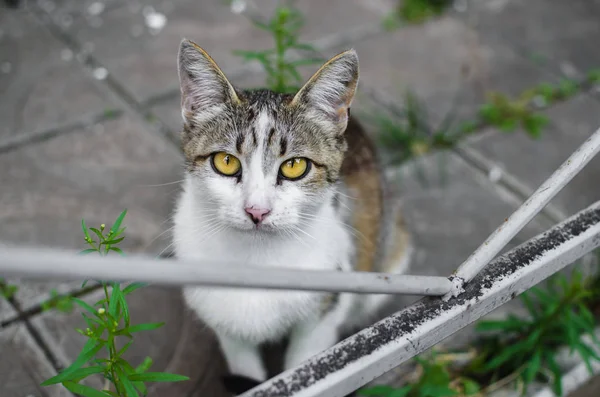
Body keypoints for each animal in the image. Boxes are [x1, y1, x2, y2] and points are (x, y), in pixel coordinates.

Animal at [171, 38, 410, 392]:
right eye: (226, 162)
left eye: (295, 166)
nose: (256, 210)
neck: (257, 261)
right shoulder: (222, 318)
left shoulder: (324, 310)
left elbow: (306, 366)